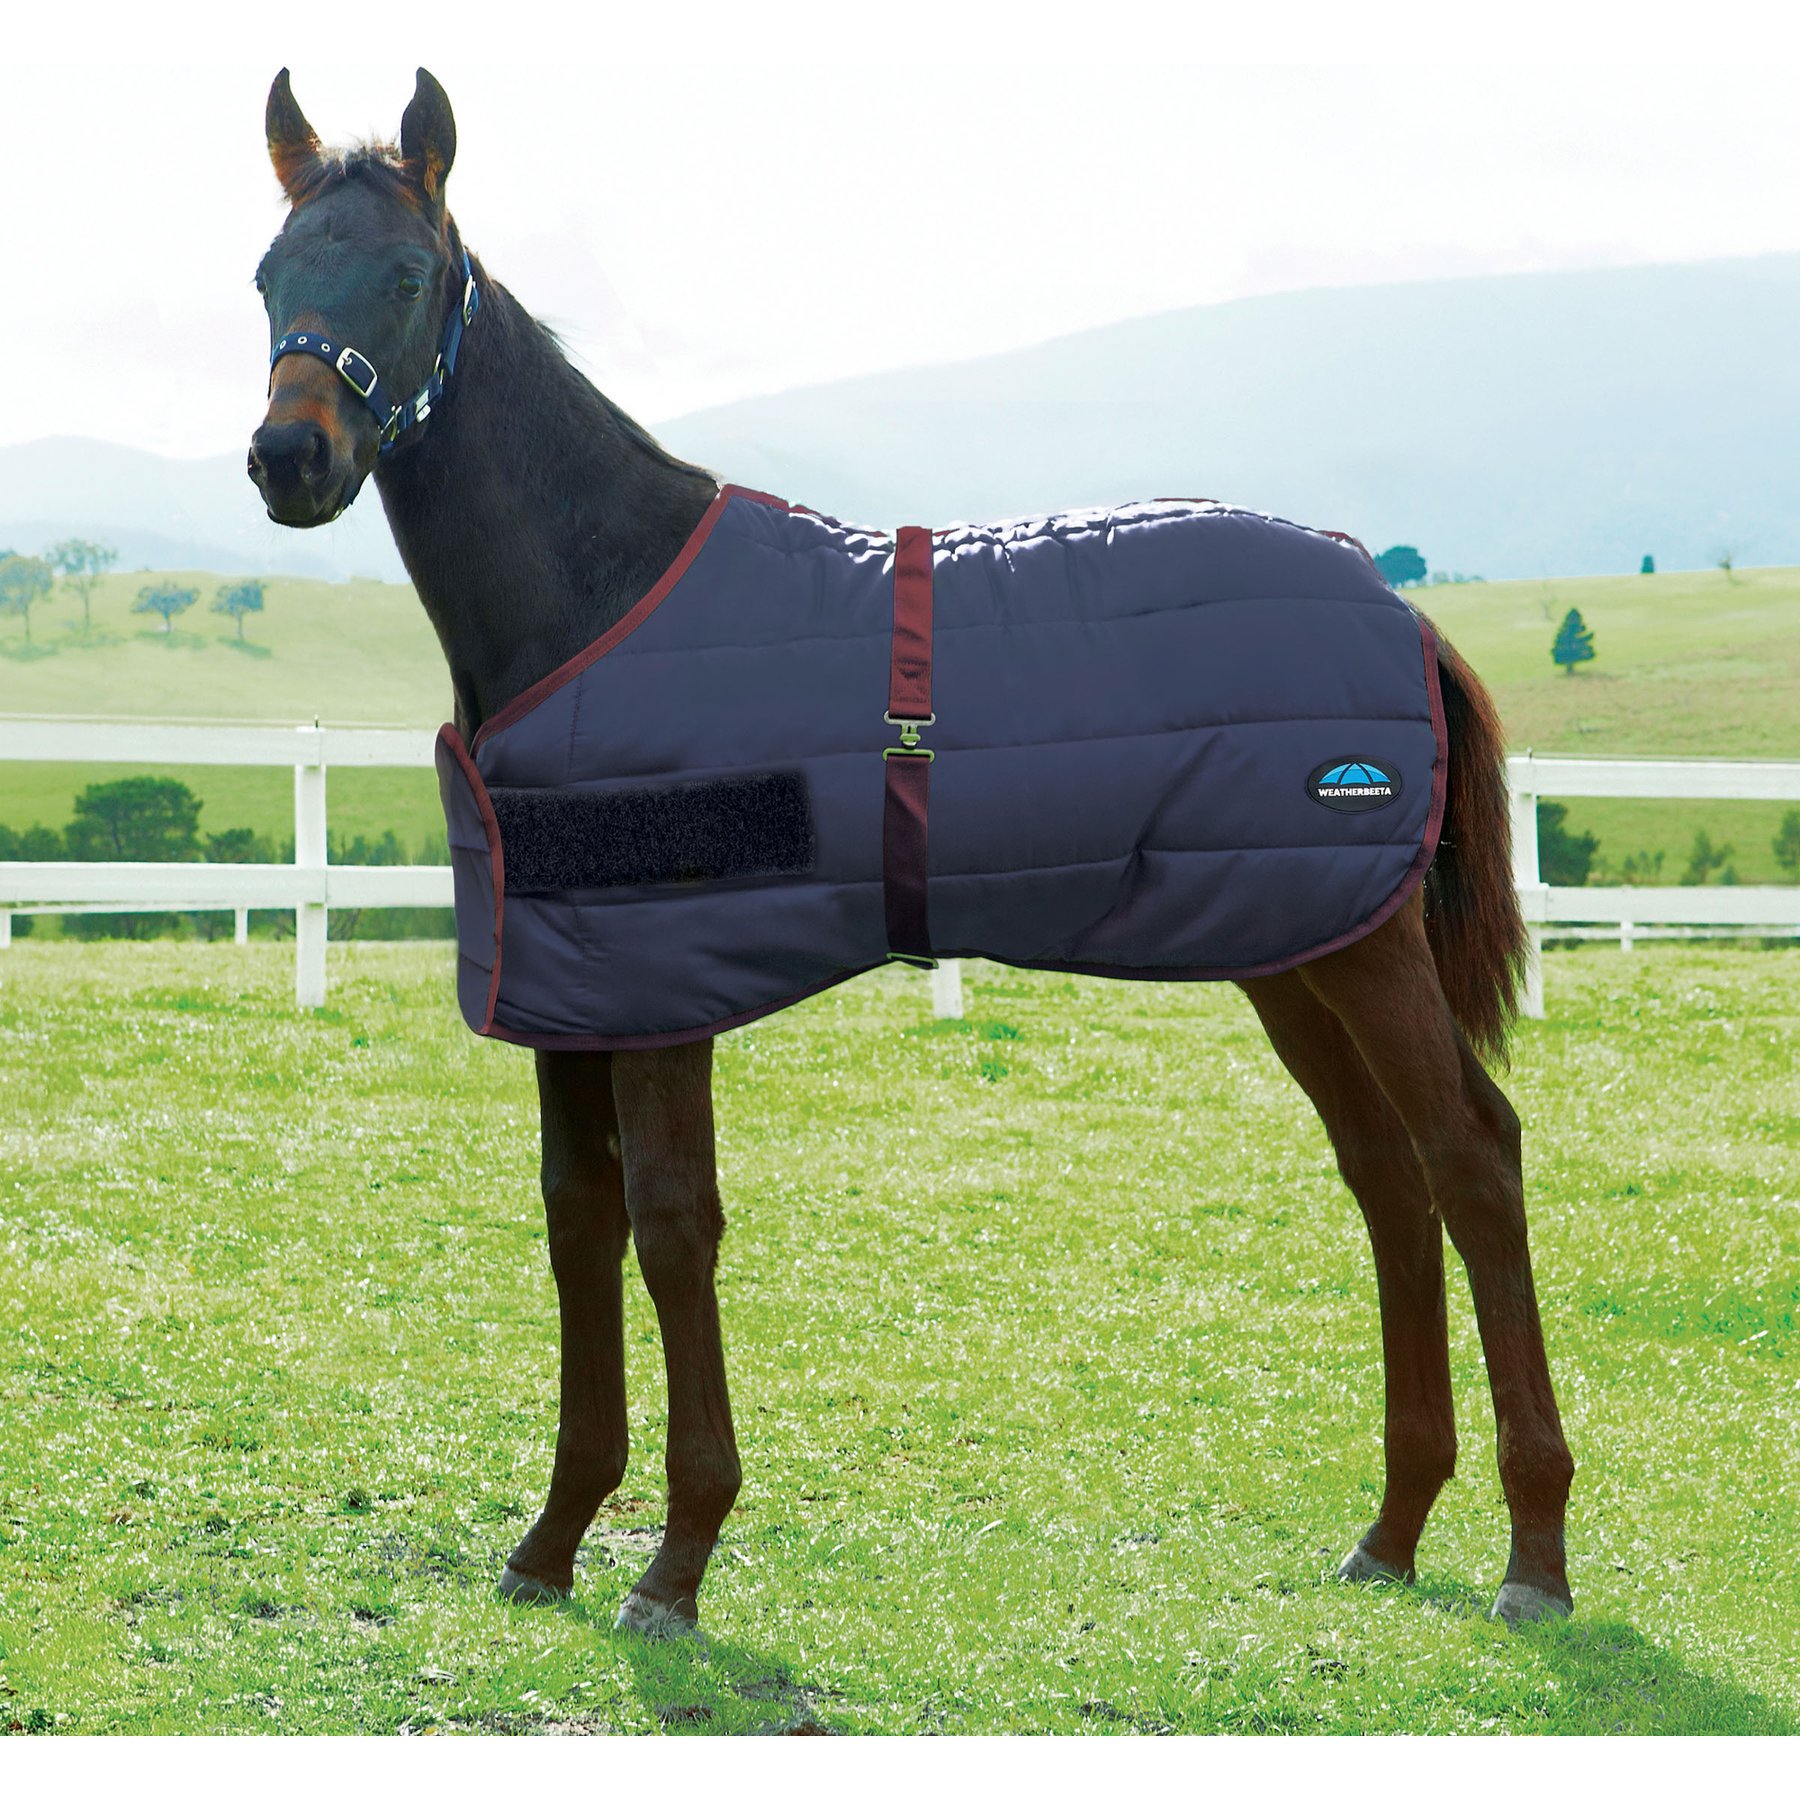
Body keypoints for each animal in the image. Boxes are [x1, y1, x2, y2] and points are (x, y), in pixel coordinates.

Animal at [247, 67, 1574, 1636]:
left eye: (405, 275)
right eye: (267, 274)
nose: (290, 460)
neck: (602, 594)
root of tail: (1398, 607)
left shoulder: (664, 996)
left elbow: (671, 1227)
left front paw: (676, 1561)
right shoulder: (572, 995)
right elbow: (579, 1226)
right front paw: (555, 1538)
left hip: (1362, 954)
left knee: (1471, 1156)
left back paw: (1535, 1556)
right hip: (1293, 949)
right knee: (1387, 1177)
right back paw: (1394, 1527)